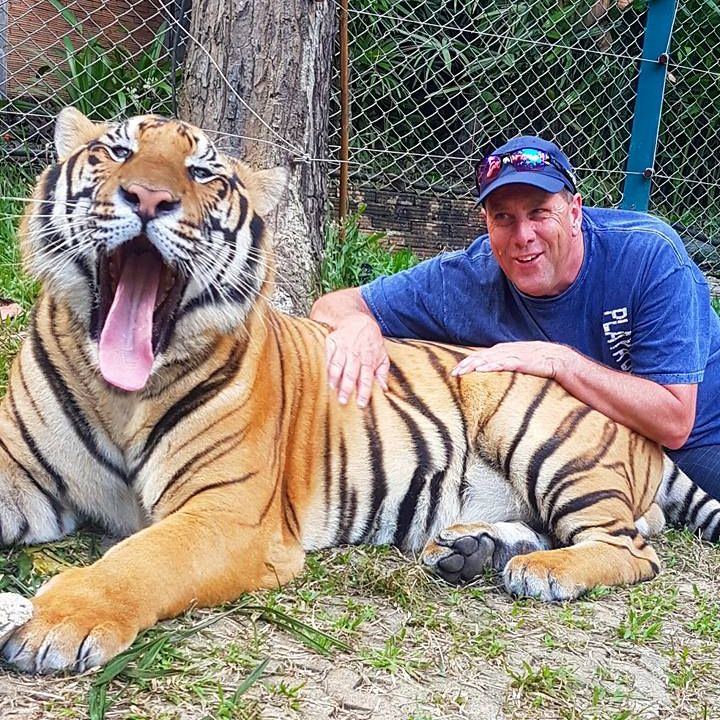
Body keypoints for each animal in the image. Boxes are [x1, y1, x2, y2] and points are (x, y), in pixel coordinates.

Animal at [0, 107, 717, 675]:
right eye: (117, 152)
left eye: (204, 175)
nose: (148, 198)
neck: (121, 393)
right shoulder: (20, 471)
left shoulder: (225, 514)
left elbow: (140, 560)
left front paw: (56, 622)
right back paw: (472, 550)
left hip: (542, 435)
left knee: (633, 549)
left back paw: (541, 573)